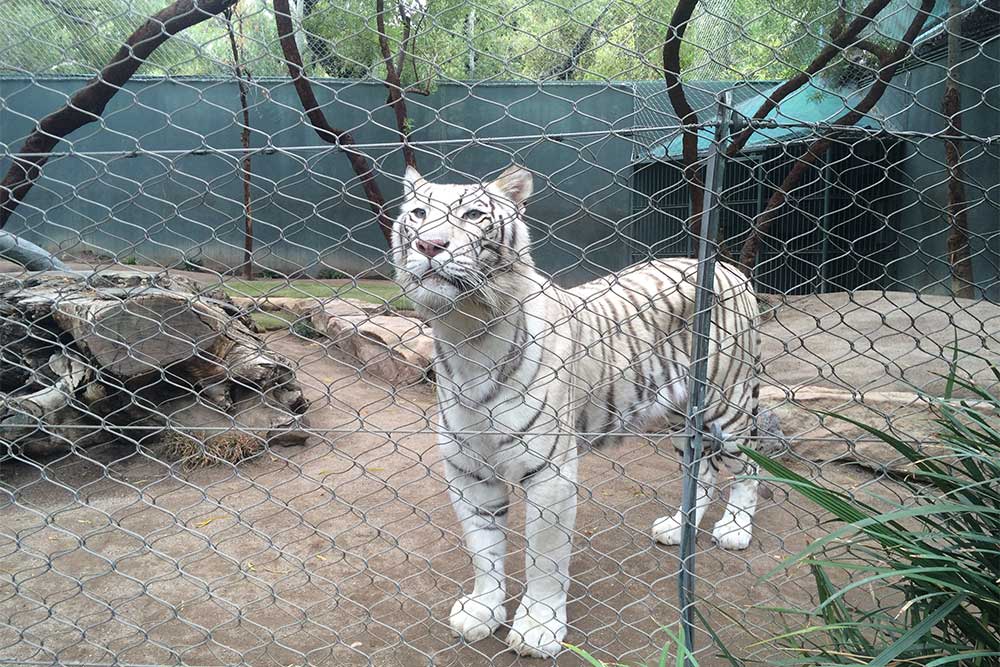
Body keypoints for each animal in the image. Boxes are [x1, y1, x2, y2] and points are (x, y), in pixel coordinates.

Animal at [392, 166, 764, 656]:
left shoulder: (550, 473)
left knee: (751, 465)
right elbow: (483, 549)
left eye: (473, 215)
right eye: (418, 213)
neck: (466, 333)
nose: (429, 245)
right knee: (701, 468)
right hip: (681, 414)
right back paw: (677, 527)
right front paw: (481, 612)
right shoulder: (468, 470)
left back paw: (735, 530)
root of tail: (723, 265)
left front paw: (537, 629)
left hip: (727, 403)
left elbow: (544, 556)